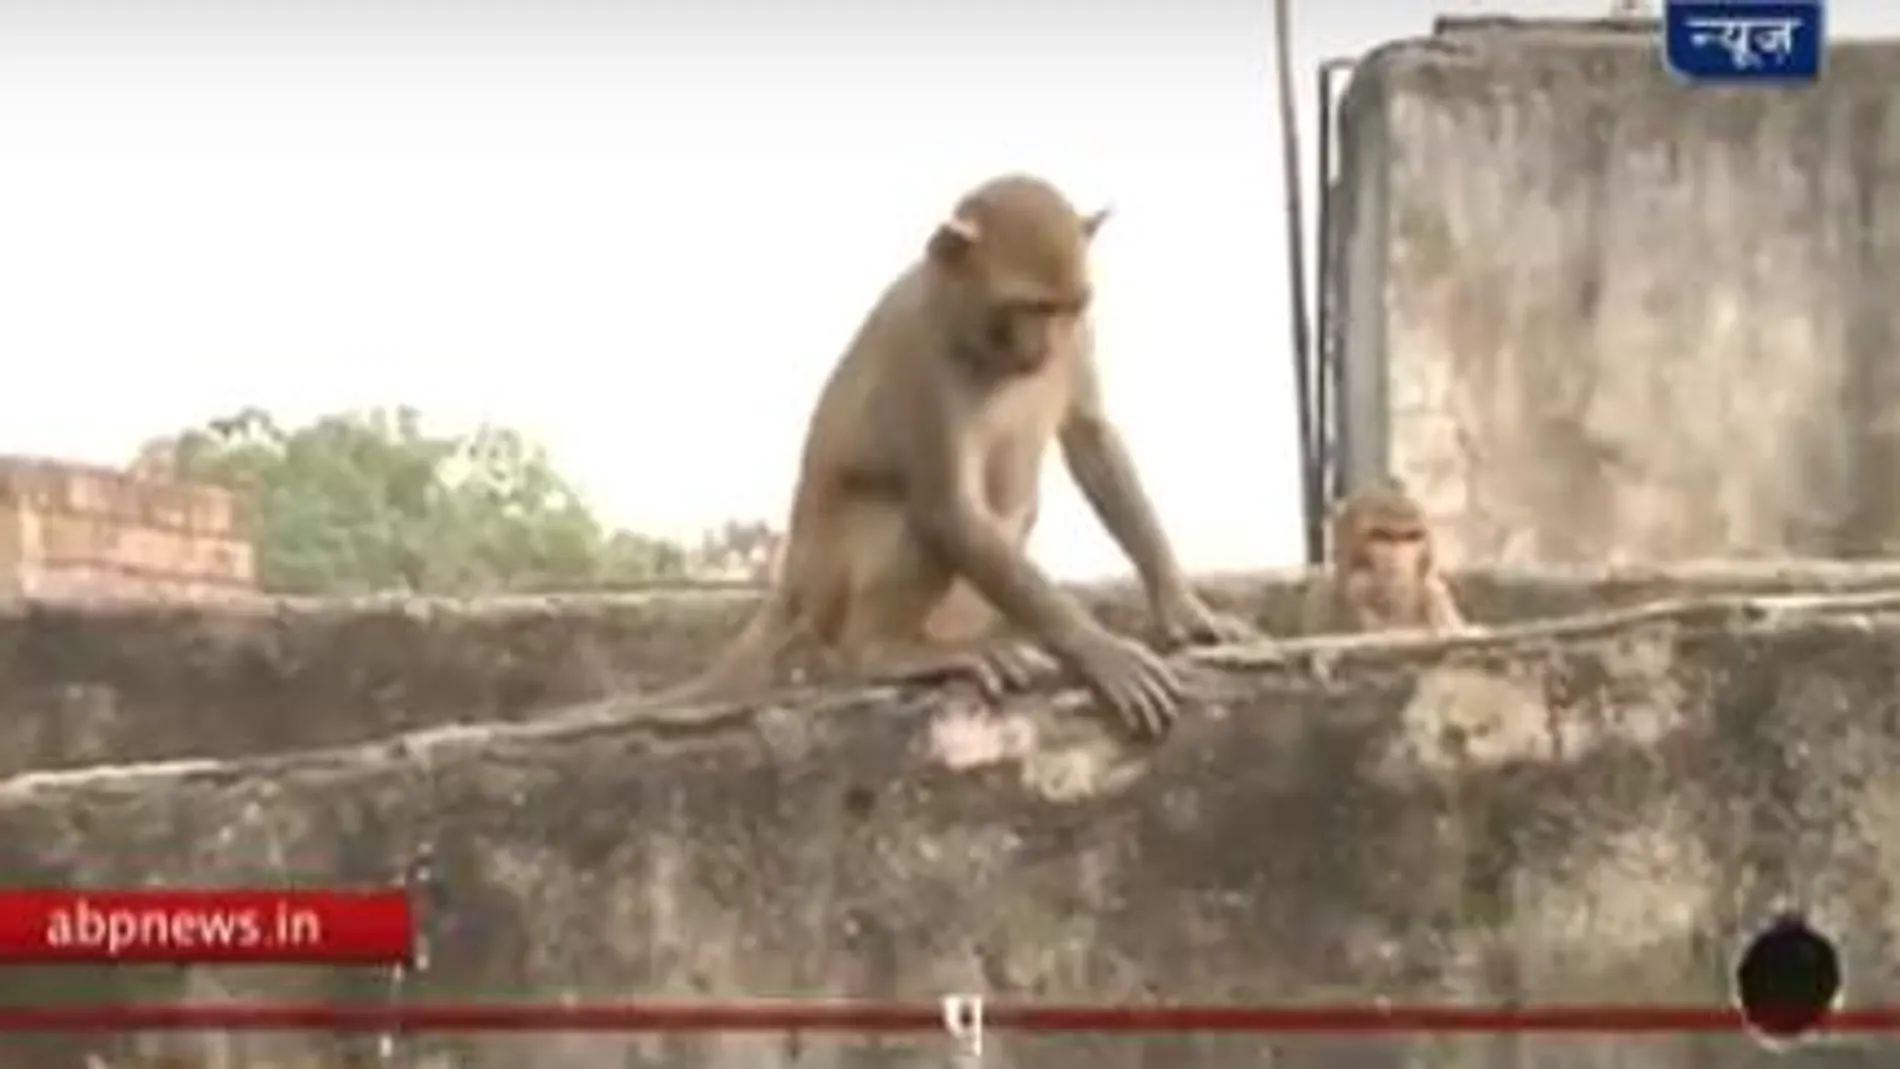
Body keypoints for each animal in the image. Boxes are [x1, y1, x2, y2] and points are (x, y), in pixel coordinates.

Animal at [661, 173, 1257, 736]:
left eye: (1071, 306)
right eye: (1030, 306)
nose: (1046, 349)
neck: (965, 317)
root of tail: (792, 580)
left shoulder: (1081, 335)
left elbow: (1093, 438)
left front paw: (1182, 606)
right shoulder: (921, 355)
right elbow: (946, 508)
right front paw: (1100, 649)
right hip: (829, 587)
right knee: (911, 518)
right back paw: (885, 653)